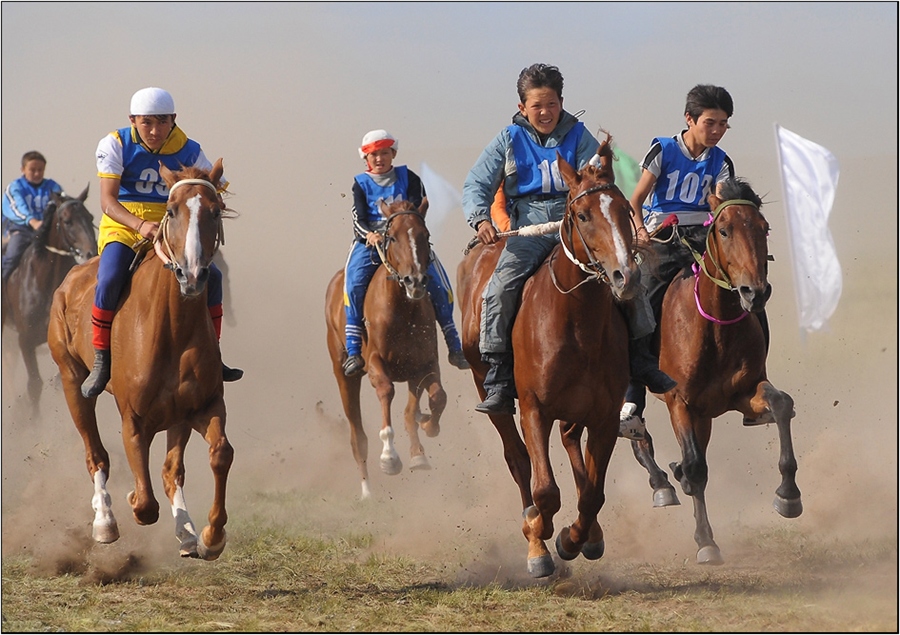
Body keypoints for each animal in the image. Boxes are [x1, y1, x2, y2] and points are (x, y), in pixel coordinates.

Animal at [48, 160, 236, 560]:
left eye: (215, 211)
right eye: (171, 211)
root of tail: (70, 278)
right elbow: (146, 504)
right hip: (71, 381)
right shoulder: (133, 420)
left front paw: (210, 535)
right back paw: (105, 521)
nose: (192, 275)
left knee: (170, 470)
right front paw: (132, 498)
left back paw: (186, 533)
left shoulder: (202, 406)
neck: (173, 328)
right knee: (95, 454)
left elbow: (218, 454)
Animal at [326, 199, 448, 502]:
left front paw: (423, 438)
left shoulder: (423, 364)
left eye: (425, 235)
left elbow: (433, 399)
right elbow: (386, 392)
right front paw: (390, 457)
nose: (415, 281)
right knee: (357, 436)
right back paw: (367, 490)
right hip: (343, 374)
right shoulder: (375, 363)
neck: (402, 311)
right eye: (392, 237)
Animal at [460, 137, 644, 580]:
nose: (626, 277)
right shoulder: (533, 408)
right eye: (582, 214)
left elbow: (593, 494)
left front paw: (576, 538)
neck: (576, 322)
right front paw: (539, 539)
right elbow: (545, 491)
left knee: (571, 443)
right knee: (518, 460)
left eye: (625, 209)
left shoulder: (604, 416)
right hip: (486, 386)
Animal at [624, 178, 800, 568]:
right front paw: (706, 541)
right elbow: (695, 466)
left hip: (705, 415)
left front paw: (788, 494)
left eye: (764, 228)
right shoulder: (679, 402)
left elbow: (781, 405)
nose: (755, 291)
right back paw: (661, 482)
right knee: (635, 430)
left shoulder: (745, 391)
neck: (715, 327)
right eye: (723, 230)